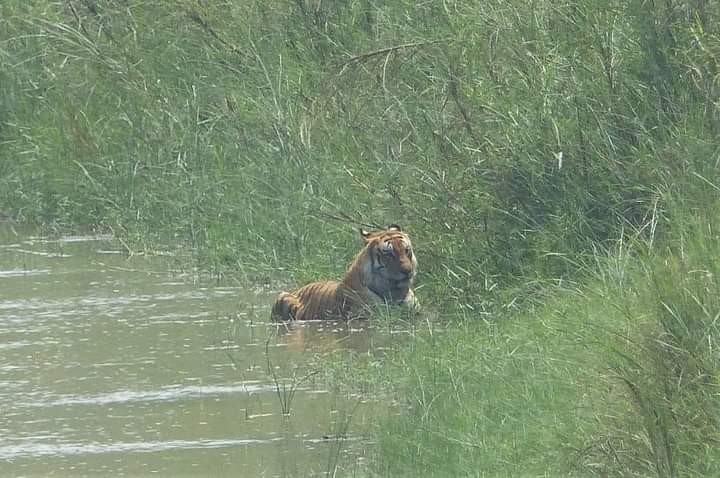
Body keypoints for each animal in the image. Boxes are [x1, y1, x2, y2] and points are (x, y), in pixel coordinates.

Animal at [270, 224, 416, 322]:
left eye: (406, 250)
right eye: (389, 254)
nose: (408, 271)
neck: (394, 292)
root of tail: (297, 289)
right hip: (283, 297)